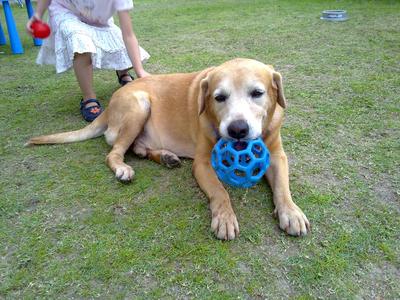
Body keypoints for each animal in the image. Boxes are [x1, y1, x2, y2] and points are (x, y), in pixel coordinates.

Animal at [27, 58, 310, 240]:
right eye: (219, 97)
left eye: (257, 93)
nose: (237, 129)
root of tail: (111, 103)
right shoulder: (203, 163)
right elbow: (220, 192)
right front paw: (225, 217)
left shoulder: (277, 156)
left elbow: (282, 187)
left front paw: (291, 212)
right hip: (139, 105)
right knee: (114, 153)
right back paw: (123, 168)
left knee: (138, 149)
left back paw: (166, 157)